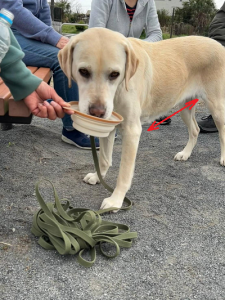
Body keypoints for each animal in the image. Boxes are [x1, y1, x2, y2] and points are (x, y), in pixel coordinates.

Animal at [58, 27, 225, 211]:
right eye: (83, 71)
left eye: (115, 74)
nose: (97, 112)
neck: (119, 89)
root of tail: (219, 45)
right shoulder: (108, 126)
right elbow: (104, 159)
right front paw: (97, 176)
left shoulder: (132, 131)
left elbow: (124, 173)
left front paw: (116, 200)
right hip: (185, 108)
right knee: (195, 130)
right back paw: (185, 154)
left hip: (217, 107)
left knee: (222, 133)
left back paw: (223, 158)